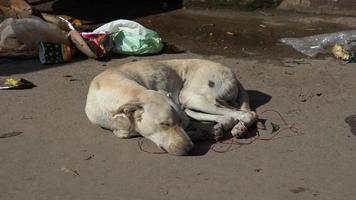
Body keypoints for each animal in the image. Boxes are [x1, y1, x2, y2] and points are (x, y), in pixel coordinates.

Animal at [85, 58, 258, 155]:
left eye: (178, 123)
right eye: (164, 124)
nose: (190, 149)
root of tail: (233, 73)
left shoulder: (183, 117)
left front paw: (197, 134)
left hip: (191, 97)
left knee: (247, 114)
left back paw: (238, 127)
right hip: (190, 102)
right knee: (229, 116)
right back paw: (226, 127)